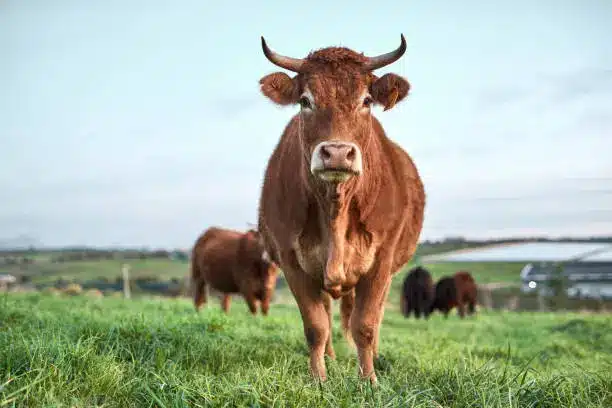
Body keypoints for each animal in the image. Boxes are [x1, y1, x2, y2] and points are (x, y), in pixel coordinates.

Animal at [255, 33, 426, 384]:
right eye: (305, 101)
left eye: (366, 100)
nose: (336, 153)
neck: (335, 208)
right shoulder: (292, 262)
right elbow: (316, 326)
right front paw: (319, 379)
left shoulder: (381, 262)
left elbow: (365, 325)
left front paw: (369, 380)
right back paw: (332, 358)